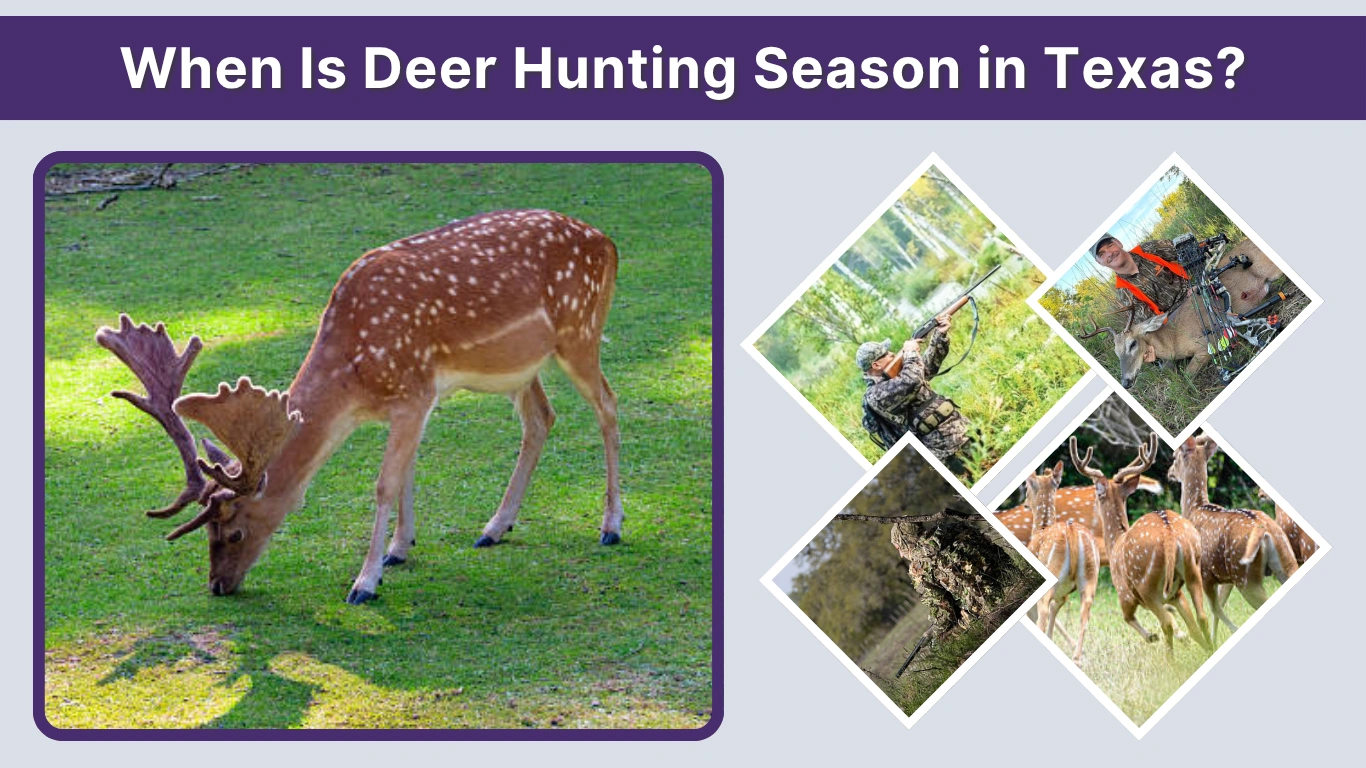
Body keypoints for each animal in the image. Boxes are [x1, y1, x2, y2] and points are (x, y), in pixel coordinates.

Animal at [96, 209, 622, 605]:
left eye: (235, 533)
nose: (218, 586)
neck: (353, 383)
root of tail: (608, 242)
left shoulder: (414, 394)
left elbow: (385, 484)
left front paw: (365, 582)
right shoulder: (413, 404)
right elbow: (407, 472)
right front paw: (399, 550)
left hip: (580, 332)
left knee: (608, 406)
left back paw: (610, 526)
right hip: (520, 367)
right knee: (541, 418)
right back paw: (494, 527)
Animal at [1023, 461, 1099, 663]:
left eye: (1027, 487)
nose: (1025, 504)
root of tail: (1071, 533)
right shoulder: (1063, 593)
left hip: (1053, 573)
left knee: (1043, 611)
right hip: (1090, 576)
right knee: (1085, 614)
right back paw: (1077, 658)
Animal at [1072, 435, 1211, 653]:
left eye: (1095, 489)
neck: (1115, 543)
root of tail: (1169, 534)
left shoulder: (1124, 594)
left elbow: (1127, 617)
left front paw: (1152, 636)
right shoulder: (1175, 594)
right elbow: (1191, 627)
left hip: (1146, 583)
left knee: (1166, 624)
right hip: (1192, 568)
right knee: (1201, 618)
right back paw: (1209, 648)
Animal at [1168, 434, 1298, 642]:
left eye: (1174, 456)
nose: (1169, 472)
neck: (1194, 509)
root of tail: (1265, 529)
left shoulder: (1205, 573)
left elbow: (1214, 609)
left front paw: (1220, 637)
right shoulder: (1225, 577)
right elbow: (1217, 608)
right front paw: (1215, 639)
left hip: (1245, 575)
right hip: (1286, 560)